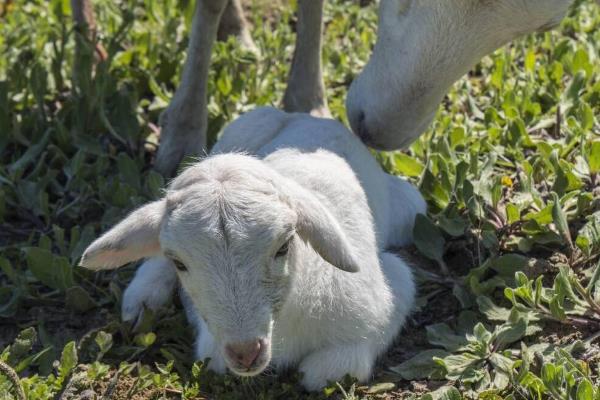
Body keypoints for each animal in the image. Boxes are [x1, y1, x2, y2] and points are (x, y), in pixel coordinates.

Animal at [79, 107, 426, 390]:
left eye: (283, 246)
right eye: (179, 263)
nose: (245, 353)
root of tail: (301, 115)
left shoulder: (383, 294)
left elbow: (325, 372)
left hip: (410, 209)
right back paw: (143, 300)